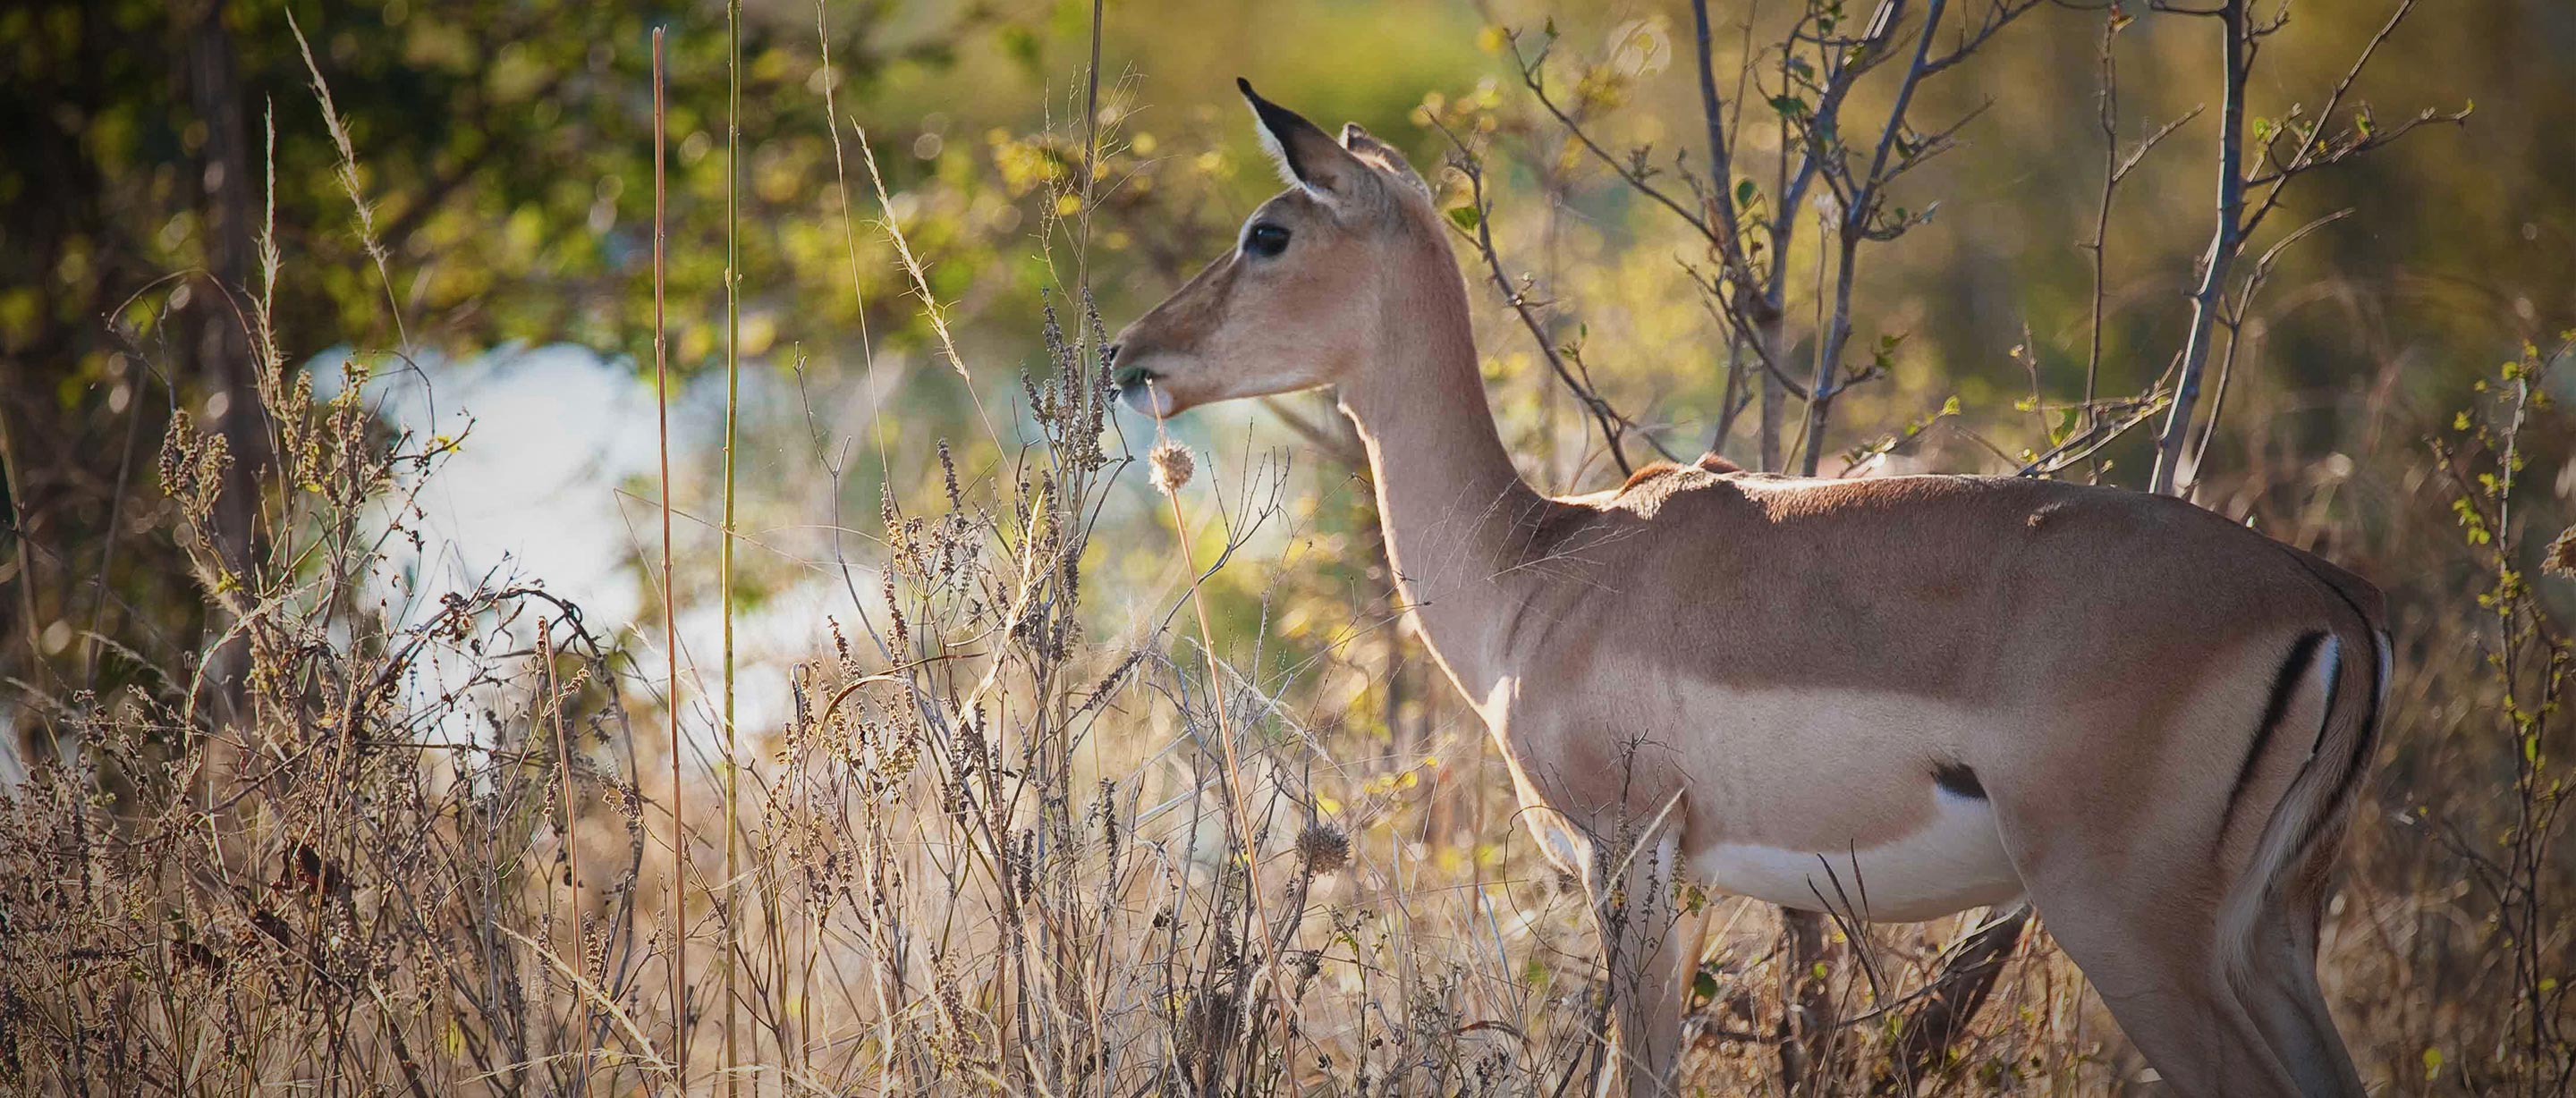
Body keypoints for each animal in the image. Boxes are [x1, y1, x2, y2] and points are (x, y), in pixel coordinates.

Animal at [1107, 81, 2388, 1098]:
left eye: (1269, 232)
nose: (1130, 354)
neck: (1539, 566)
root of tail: (2330, 606)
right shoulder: (1686, 882)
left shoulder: (1627, 857)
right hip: (2270, 931)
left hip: (2131, 925)